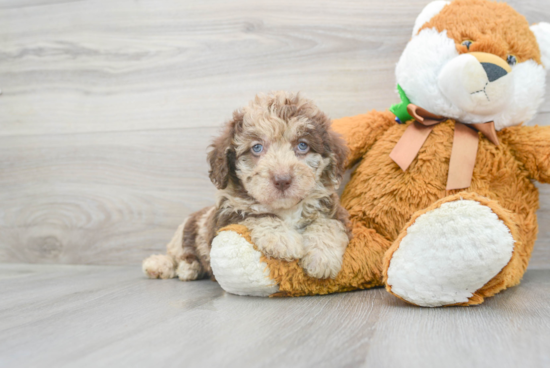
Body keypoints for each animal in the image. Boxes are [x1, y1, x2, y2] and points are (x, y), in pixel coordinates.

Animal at [142, 90, 350, 280]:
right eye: (257, 147)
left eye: (303, 145)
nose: (282, 179)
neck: (286, 209)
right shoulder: (227, 216)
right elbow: (257, 215)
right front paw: (282, 239)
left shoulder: (334, 211)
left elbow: (327, 224)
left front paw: (322, 258)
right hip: (184, 234)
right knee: (176, 255)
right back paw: (169, 266)